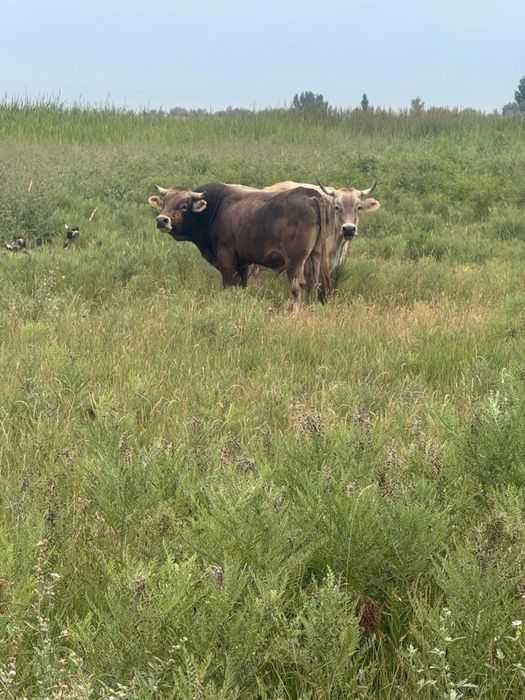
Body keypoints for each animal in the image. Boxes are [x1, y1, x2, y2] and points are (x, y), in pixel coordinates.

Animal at [148, 183, 331, 307]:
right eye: (164, 202)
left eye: (184, 206)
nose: (162, 220)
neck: (214, 209)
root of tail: (310, 194)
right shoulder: (243, 262)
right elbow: (241, 286)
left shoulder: (226, 259)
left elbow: (229, 285)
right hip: (315, 255)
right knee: (315, 284)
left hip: (295, 261)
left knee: (297, 287)